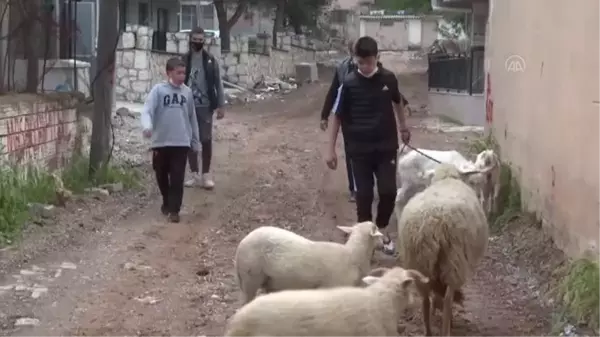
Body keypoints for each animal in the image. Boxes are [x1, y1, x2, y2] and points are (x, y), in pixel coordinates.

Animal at [396, 163, 490, 336]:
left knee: (425, 299)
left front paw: (435, 307)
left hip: (419, 262)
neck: (446, 179)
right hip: (454, 260)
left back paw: (428, 330)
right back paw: (447, 327)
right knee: (447, 298)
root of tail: (431, 223)